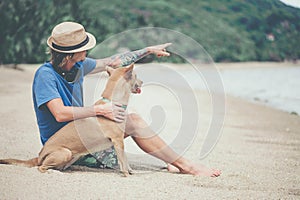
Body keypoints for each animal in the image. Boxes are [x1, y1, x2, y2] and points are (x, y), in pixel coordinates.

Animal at [0, 63, 143, 177]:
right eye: (136, 75)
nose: (142, 82)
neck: (112, 101)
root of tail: (39, 155)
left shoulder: (119, 141)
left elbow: (126, 160)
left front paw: (131, 171)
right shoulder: (118, 140)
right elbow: (123, 161)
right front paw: (126, 174)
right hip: (65, 152)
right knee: (41, 168)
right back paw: (53, 172)